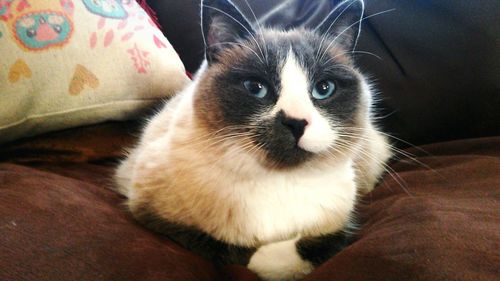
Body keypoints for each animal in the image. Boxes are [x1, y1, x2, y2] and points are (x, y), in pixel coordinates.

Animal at [115, 0, 392, 278]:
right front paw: (263, 262)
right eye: (256, 88)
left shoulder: (345, 218)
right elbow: (222, 248)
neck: (279, 181)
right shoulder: (150, 211)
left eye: (324, 89)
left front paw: (276, 263)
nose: (296, 122)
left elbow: (323, 241)